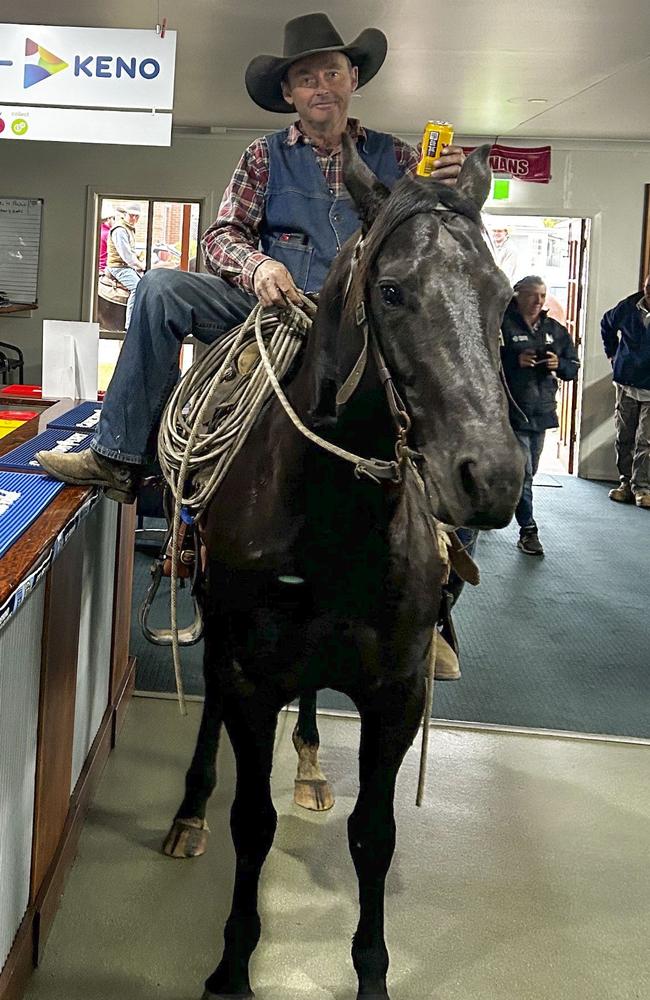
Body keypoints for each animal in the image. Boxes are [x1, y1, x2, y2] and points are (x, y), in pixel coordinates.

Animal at [161, 143, 520, 1000]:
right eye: (392, 292)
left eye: (500, 298)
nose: (492, 478)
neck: (329, 518)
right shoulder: (253, 680)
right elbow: (251, 822)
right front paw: (232, 965)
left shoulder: (396, 693)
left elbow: (375, 835)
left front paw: (372, 973)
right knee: (210, 706)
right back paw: (188, 810)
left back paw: (312, 764)